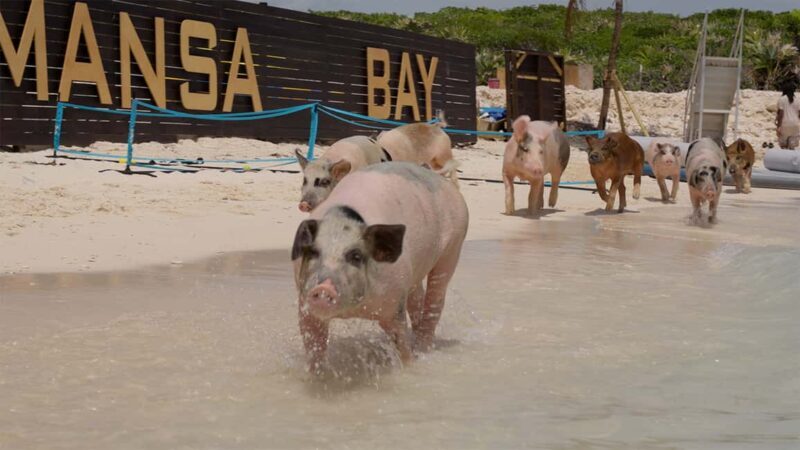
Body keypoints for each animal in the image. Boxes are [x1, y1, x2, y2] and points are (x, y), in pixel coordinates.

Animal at [291, 162, 469, 372]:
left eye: (356, 256)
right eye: (313, 252)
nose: (323, 288)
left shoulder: (393, 301)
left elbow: (400, 341)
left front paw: (411, 366)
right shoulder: (305, 305)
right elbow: (314, 346)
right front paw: (318, 374)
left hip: (454, 244)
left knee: (436, 298)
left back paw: (423, 349)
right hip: (414, 273)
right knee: (417, 298)